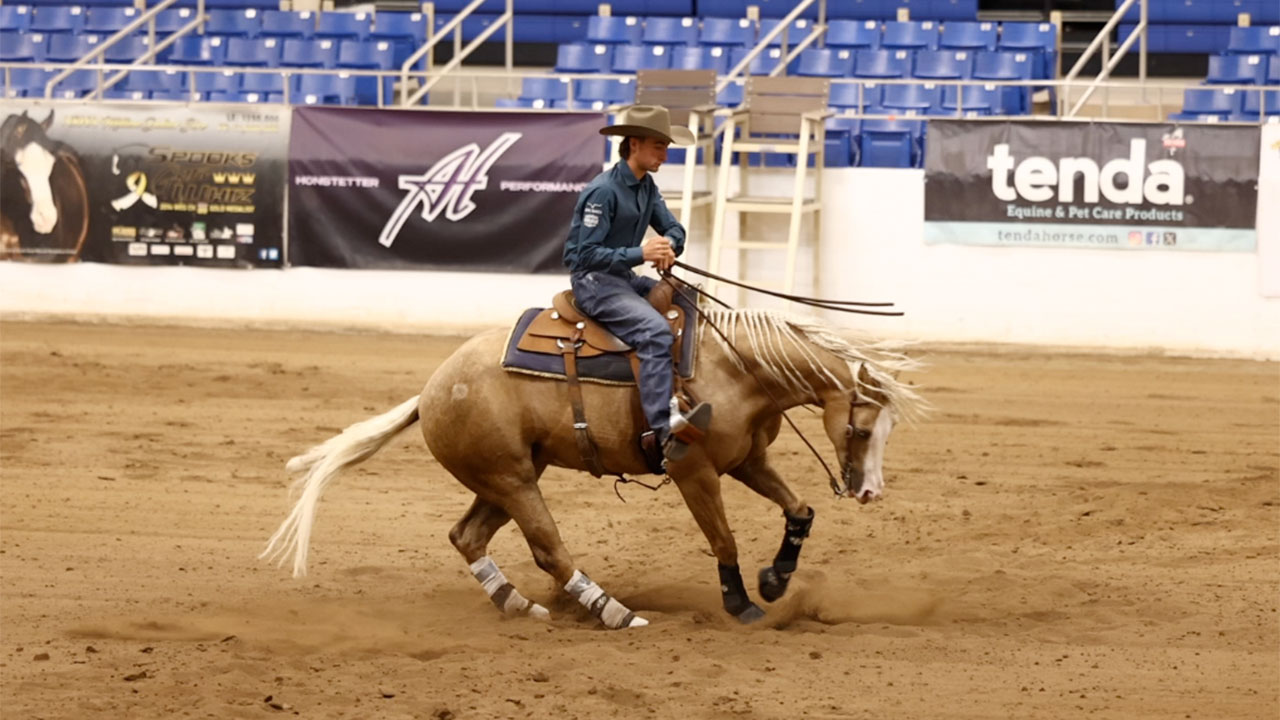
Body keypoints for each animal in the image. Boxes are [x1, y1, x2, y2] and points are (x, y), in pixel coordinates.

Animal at [263, 306, 928, 628]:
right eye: (861, 429)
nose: (870, 492)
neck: (737, 368)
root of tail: (430, 391)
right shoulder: (693, 470)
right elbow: (723, 539)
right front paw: (742, 604)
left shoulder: (746, 459)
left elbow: (800, 509)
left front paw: (775, 581)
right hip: (512, 480)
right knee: (549, 550)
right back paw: (614, 613)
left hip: (504, 478)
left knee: (467, 535)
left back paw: (522, 608)